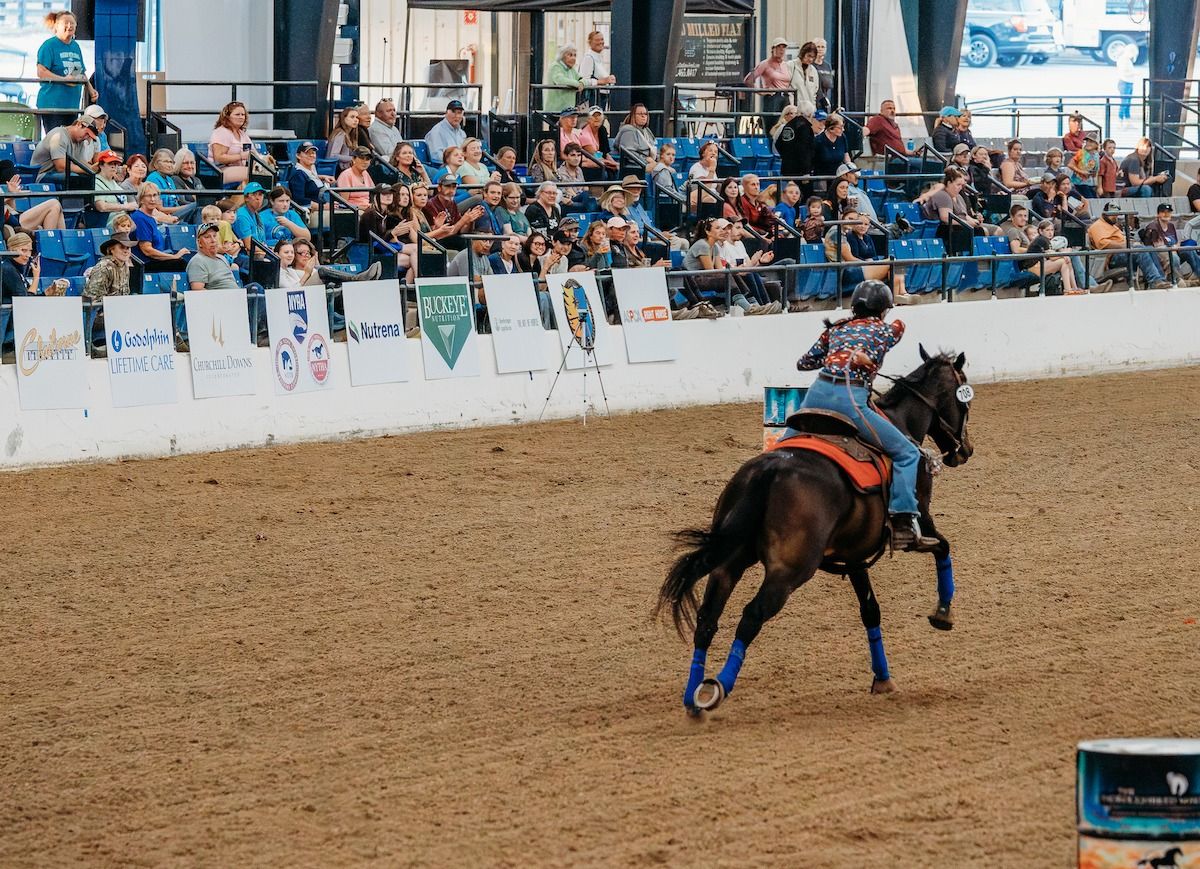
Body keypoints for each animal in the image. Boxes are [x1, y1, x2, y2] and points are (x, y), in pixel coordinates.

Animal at [657, 345, 974, 710]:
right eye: (964, 398)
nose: (965, 450)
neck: (902, 422)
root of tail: (769, 470)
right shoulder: (922, 521)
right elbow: (943, 548)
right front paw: (943, 613)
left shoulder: (855, 557)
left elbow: (871, 611)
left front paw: (882, 679)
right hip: (789, 571)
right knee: (751, 617)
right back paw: (717, 688)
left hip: (731, 560)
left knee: (708, 619)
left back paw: (692, 696)